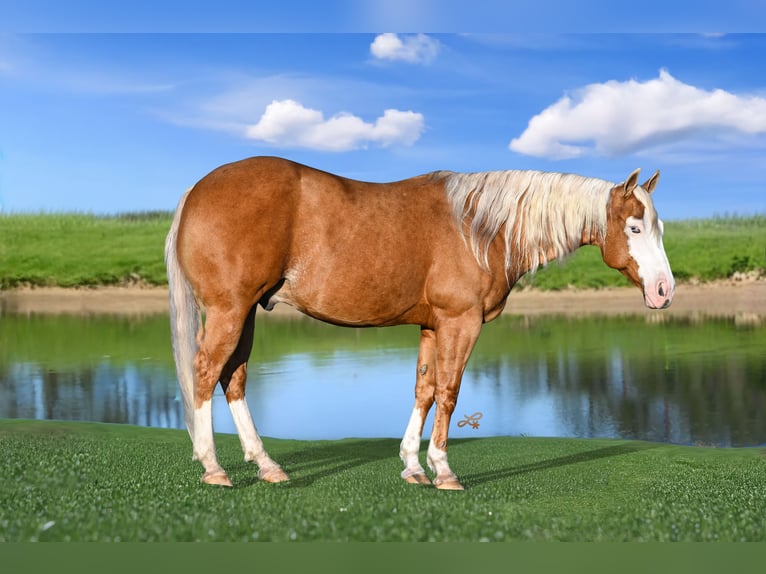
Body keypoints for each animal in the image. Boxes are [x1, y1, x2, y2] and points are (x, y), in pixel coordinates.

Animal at [165, 156, 674, 490]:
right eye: (634, 228)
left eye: (658, 228)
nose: (664, 291)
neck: (480, 228)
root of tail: (196, 189)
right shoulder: (460, 322)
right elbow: (448, 392)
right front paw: (443, 471)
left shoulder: (432, 326)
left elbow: (424, 389)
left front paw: (412, 466)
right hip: (230, 310)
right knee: (206, 372)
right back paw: (214, 468)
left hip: (247, 311)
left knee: (233, 378)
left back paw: (266, 465)